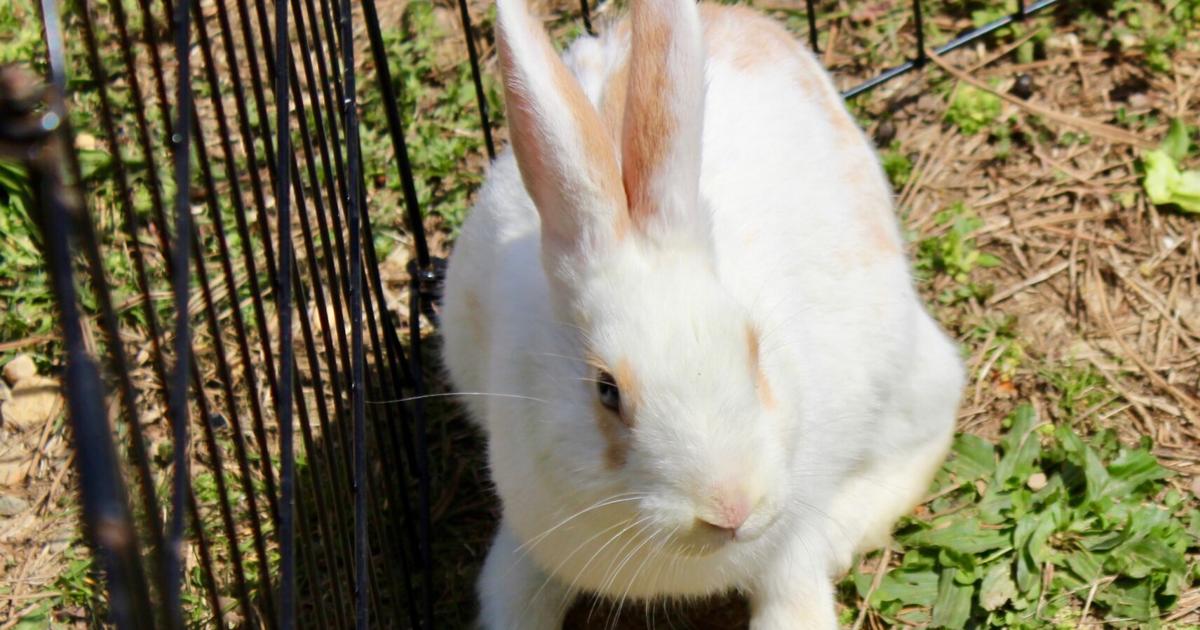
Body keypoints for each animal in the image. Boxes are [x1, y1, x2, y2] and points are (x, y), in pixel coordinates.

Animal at [439, 0, 966, 627]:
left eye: (754, 350)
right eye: (606, 391)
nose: (730, 508)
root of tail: (738, 18)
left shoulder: (790, 548)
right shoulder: (527, 543)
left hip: (903, 368)